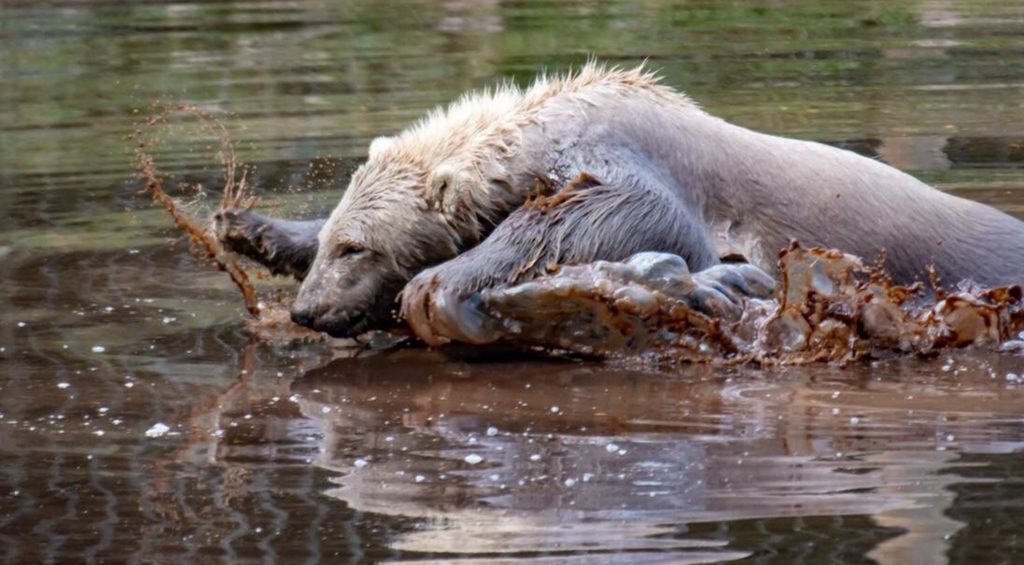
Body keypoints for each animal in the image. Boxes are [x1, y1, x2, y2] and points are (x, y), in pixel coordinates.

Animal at [214, 63, 1024, 340]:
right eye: (335, 243)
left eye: (359, 248)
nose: (310, 312)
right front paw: (248, 226)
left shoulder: (625, 149)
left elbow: (635, 215)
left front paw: (443, 282)